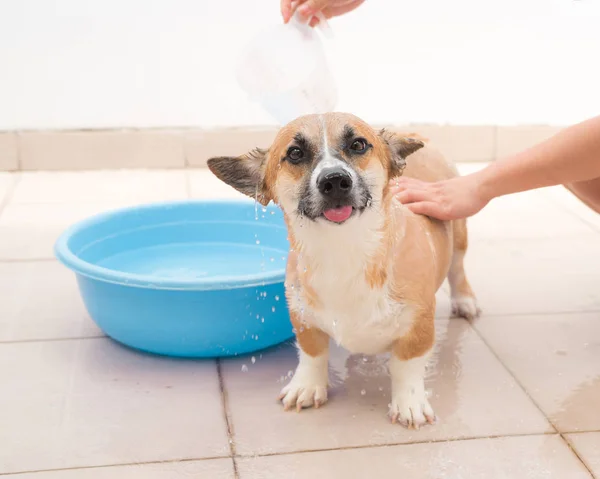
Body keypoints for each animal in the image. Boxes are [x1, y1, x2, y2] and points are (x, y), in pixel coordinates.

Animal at [209, 113, 480, 432]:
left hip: (459, 232)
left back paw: (465, 300)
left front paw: (409, 403)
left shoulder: (418, 326)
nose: (335, 180)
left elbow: (407, 366)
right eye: (295, 153)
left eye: (358, 144)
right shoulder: (303, 318)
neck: (343, 249)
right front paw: (307, 386)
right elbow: (312, 354)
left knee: (458, 270)